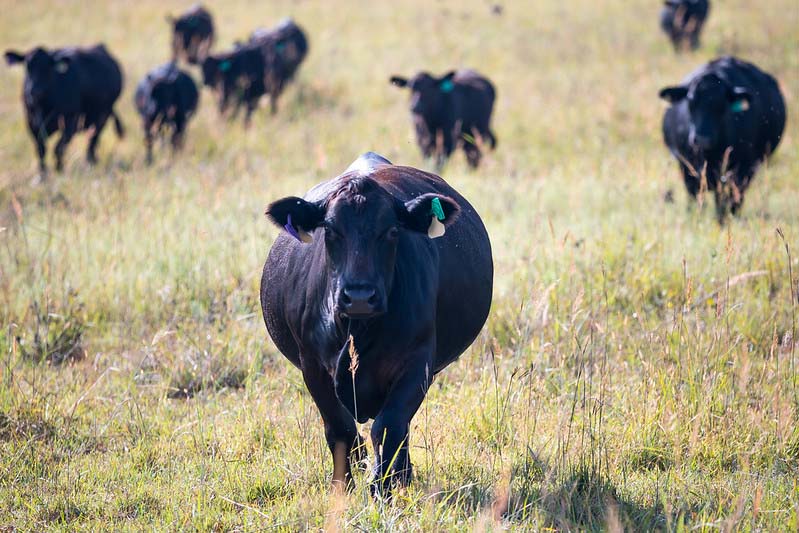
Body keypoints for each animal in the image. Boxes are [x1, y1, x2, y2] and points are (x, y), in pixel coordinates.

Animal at [260, 152, 494, 496]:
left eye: (392, 231)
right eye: (330, 230)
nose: (359, 296)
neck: (358, 331)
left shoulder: (418, 362)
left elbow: (389, 426)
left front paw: (382, 488)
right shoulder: (312, 365)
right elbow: (340, 429)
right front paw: (342, 488)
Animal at [660, 58, 792, 222]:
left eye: (722, 104)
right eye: (690, 101)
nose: (702, 139)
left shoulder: (741, 169)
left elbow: (725, 202)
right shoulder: (687, 167)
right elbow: (696, 198)